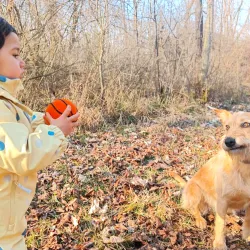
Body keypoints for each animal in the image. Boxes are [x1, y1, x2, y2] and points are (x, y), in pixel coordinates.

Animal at [170, 109, 250, 250]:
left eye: (246, 124)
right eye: (227, 127)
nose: (228, 141)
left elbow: (248, 220)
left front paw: (247, 235)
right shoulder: (222, 200)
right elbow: (220, 226)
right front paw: (219, 244)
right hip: (196, 191)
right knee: (193, 209)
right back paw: (200, 220)